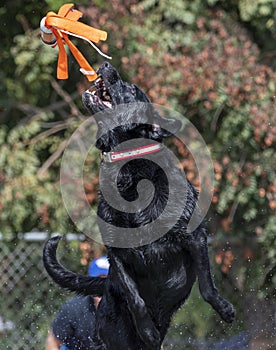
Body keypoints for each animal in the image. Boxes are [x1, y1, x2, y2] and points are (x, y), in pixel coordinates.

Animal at [43, 61, 235, 348]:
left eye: (132, 90)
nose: (107, 63)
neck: (128, 169)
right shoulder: (117, 253)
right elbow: (135, 299)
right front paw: (147, 330)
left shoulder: (195, 237)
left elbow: (207, 287)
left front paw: (225, 309)